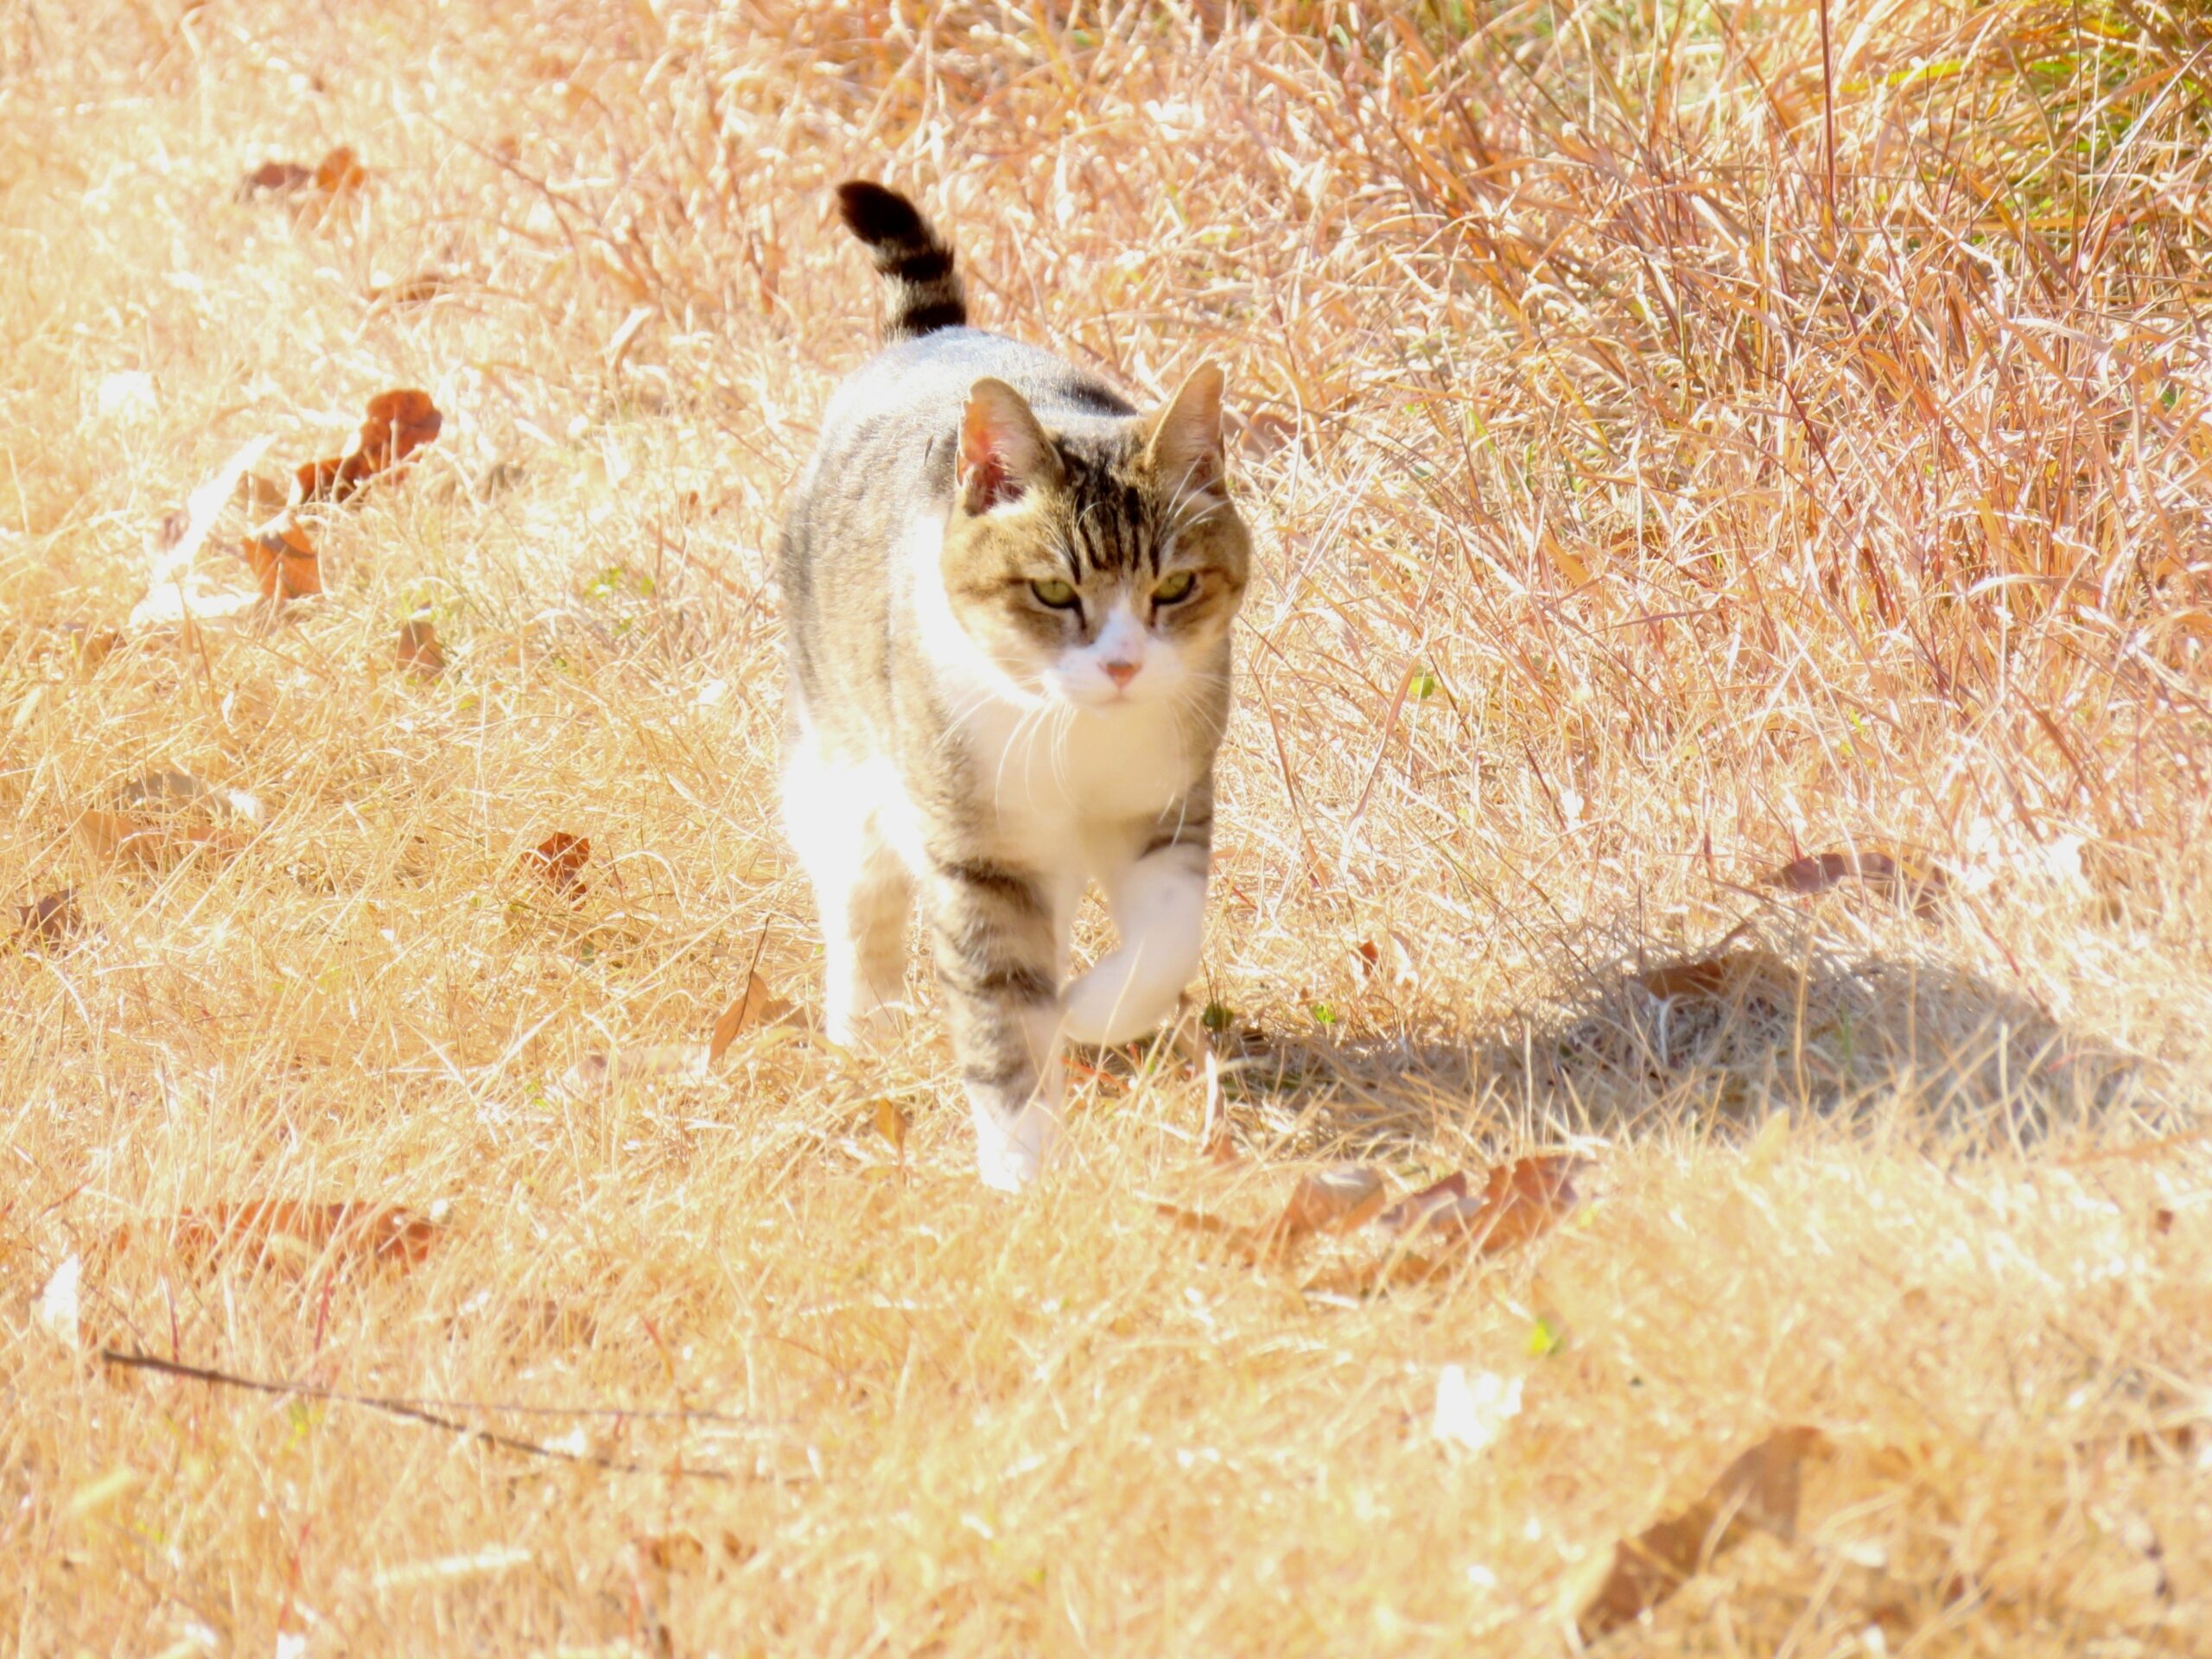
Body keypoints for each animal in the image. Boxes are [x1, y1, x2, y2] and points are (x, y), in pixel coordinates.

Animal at [783, 184, 1256, 1194]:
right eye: (1052, 592)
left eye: (1173, 588)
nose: (1121, 665)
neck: (1074, 735)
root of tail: (934, 337)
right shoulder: (979, 854)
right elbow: (999, 1007)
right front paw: (1021, 1167)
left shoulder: (1165, 807)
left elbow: (1167, 938)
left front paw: (1092, 1009)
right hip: (845, 756)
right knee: (857, 887)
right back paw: (863, 1026)